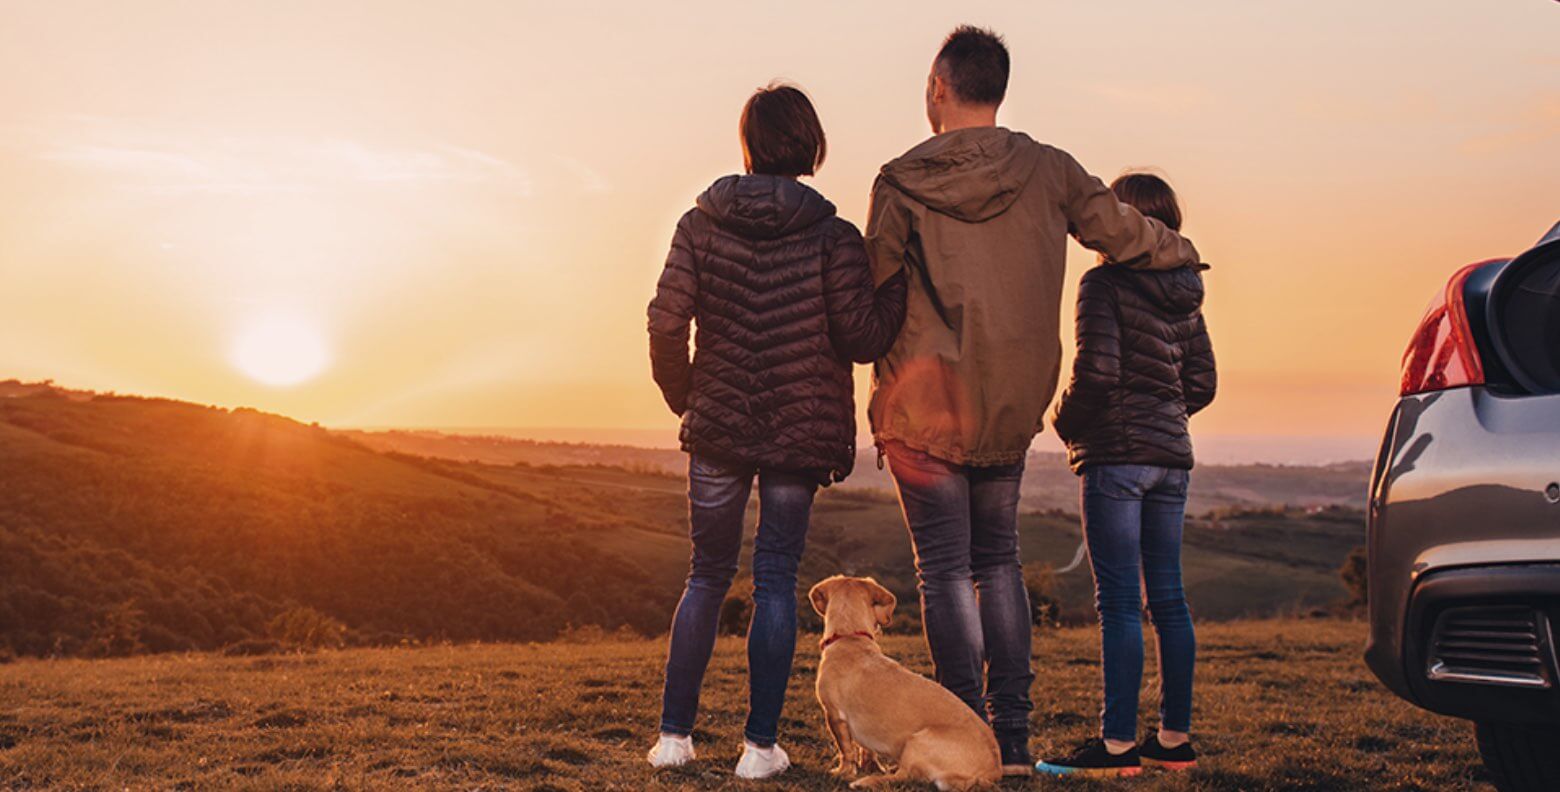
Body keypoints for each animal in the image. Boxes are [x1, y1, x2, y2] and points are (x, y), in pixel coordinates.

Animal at [811, 576, 1004, 792]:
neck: (850, 638)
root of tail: (992, 772)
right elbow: (866, 749)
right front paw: (870, 766)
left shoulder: (834, 715)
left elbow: (845, 750)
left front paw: (843, 772)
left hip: (916, 742)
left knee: (903, 776)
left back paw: (865, 782)